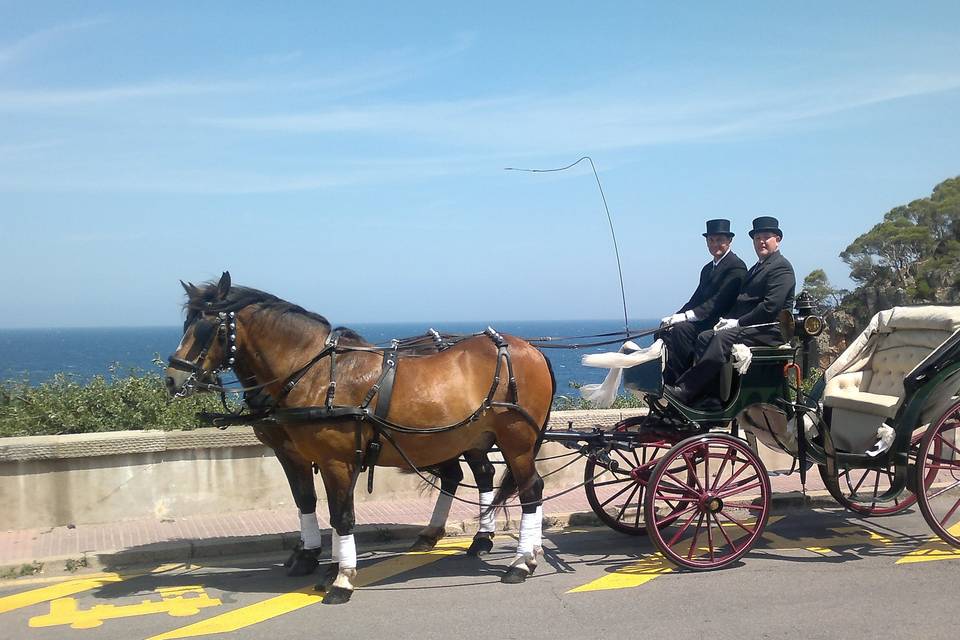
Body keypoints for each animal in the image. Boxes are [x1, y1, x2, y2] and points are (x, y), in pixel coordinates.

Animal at [165, 272, 556, 604]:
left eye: (209, 326)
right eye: (186, 323)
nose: (171, 378)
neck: (316, 373)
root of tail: (529, 348)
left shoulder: (334, 459)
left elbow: (342, 516)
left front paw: (340, 578)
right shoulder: (308, 455)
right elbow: (311, 503)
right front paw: (320, 562)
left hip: (516, 440)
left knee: (529, 490)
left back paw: (520, 561)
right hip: (471, 436)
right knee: (478, 477)